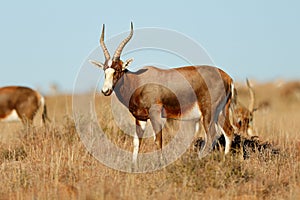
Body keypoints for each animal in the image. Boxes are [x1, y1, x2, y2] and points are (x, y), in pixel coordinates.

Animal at [90, 22, 236, 163]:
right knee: (228, 132)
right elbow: (137, 142)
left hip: (208, 113)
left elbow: (158, 140)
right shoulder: (140, 118)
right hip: (221, 111)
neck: (138, 80)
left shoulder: (155, 114)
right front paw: (133, 166)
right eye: (105, 70)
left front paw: (160, 163)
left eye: (118, 70)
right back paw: (225, 159)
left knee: (212, 134)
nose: (106, 90)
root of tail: (227, 77)